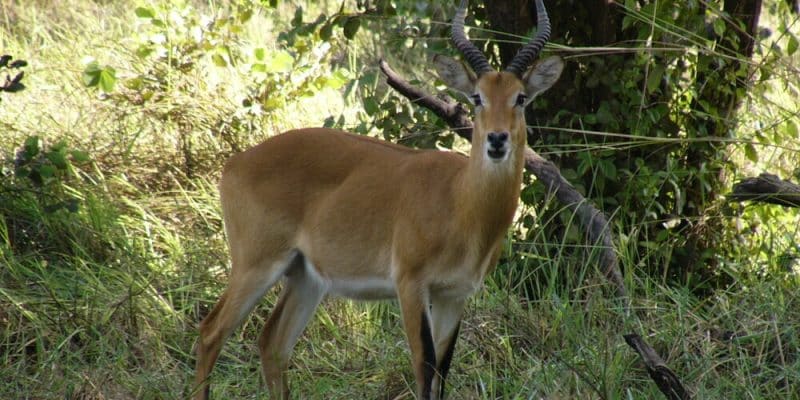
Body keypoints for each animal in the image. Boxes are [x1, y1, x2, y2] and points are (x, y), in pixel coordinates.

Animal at [195, 0, 564, 396]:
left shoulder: (455, 294)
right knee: (211, 332)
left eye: (520, 98)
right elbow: (425, 366)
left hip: (305, 276)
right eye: (476, 97)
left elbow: (443, 370)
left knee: (272, 344)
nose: (497, 140)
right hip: (256, 264)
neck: (461, 202)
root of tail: (236, 162)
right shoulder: (411, 284)